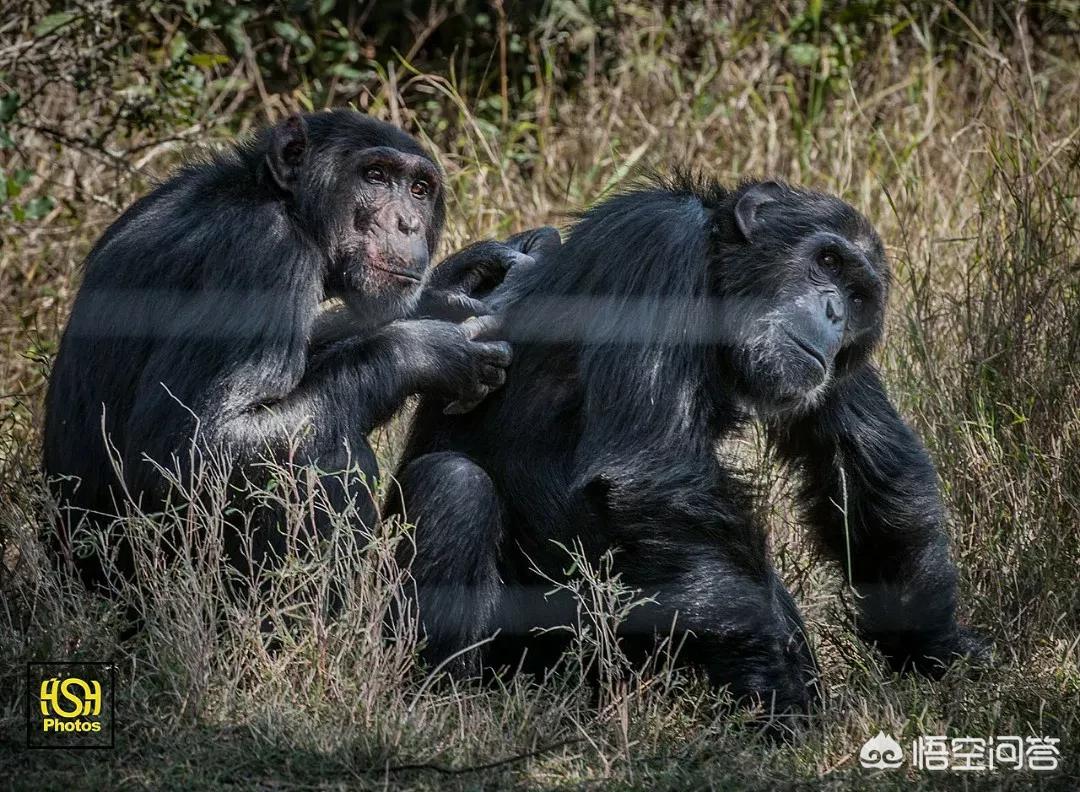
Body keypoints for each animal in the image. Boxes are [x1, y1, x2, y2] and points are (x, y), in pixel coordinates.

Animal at [44, 111, 524, 592]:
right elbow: (191, 448)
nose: (407, 221)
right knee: (322, 460)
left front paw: (446, 290)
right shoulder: (262, 255)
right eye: (376, 176)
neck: (282, 205)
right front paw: (425, 350)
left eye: (420, 189)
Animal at [388, 175, 989, 717]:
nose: (835, 311)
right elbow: (652, 468)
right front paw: (776, 687)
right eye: (828, 262)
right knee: (453, 486)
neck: (716, 272)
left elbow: (867, 466)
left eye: (859, 296)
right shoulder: (661, 251)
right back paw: (450, 701)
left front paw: (936, 647)